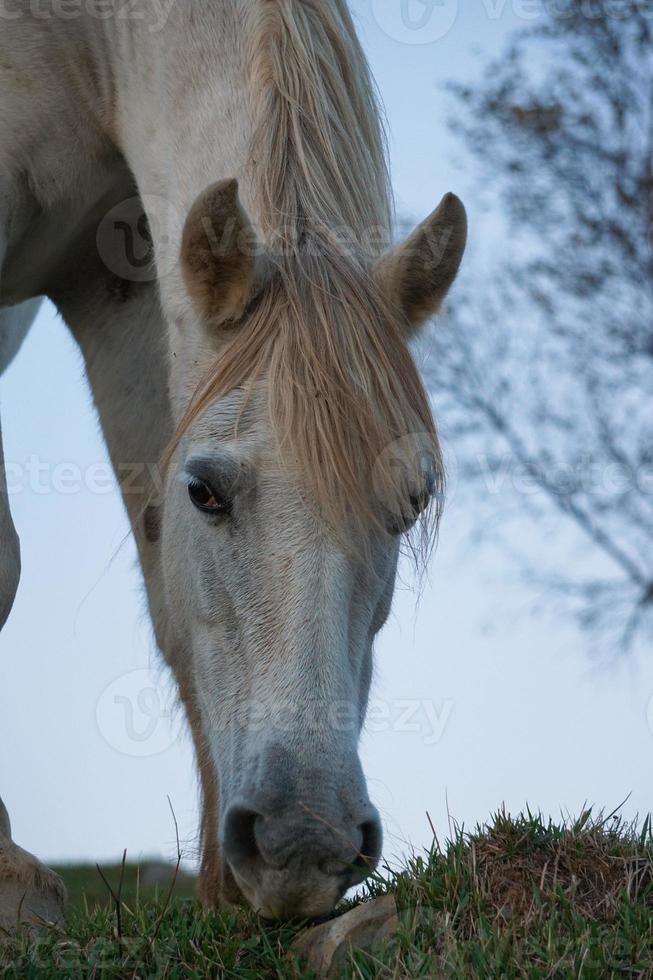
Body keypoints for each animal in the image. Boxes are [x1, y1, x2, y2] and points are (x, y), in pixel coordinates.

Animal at [1, 0, 468, 924]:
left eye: (409, 505)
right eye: (205, 492)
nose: (305, 839)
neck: (74, 36)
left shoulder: (119, 283)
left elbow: (166, 590)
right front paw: (9, 884)